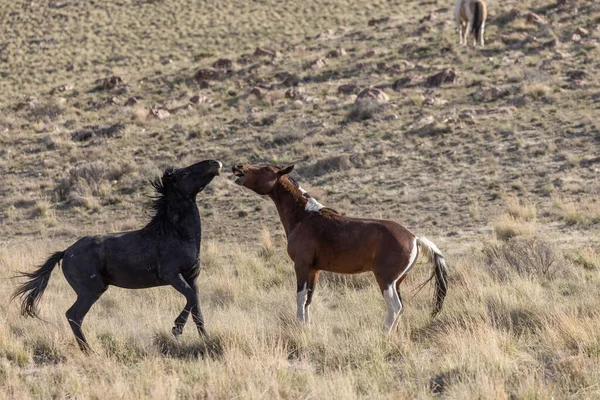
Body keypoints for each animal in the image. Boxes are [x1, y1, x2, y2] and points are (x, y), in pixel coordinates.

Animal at [11, 159, 223, 350]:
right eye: (185, 173)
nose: (215, 163)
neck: (176, 233)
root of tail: (66, 252)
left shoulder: (192, 277)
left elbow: (197, 309)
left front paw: (205, 339)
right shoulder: (171, 275)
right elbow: (190, 298)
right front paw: (177, 328)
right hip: (91, 290)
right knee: (73, 315)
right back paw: (89, 351)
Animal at [232, 163, 448, 334]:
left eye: (267, 169)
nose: (238, 167)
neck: (304, 216)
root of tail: (414, 238)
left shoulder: (301, 266)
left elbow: (300, 298)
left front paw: (300, 327)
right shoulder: (314, 270)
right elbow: (309, 299)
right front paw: (307, 327)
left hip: (385, 280)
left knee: (394, 307)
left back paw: (383, 334)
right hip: (397, 282)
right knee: (400, 308)